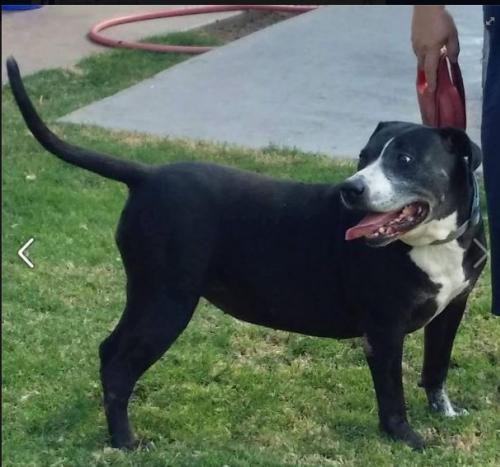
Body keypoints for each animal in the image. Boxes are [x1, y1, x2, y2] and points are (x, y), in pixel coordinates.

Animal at [6, 56, 484, 452]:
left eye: (404, 159)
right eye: (363, 157)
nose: (352, 189)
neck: (433, 242)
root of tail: (145, 176)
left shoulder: (452, 308)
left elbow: (436, 367)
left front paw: (445, 413)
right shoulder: (384, 329)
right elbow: (391, 394)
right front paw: (407, 438)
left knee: (111, 354)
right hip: (164, 300)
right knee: (118, 361)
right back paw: (126, 442)